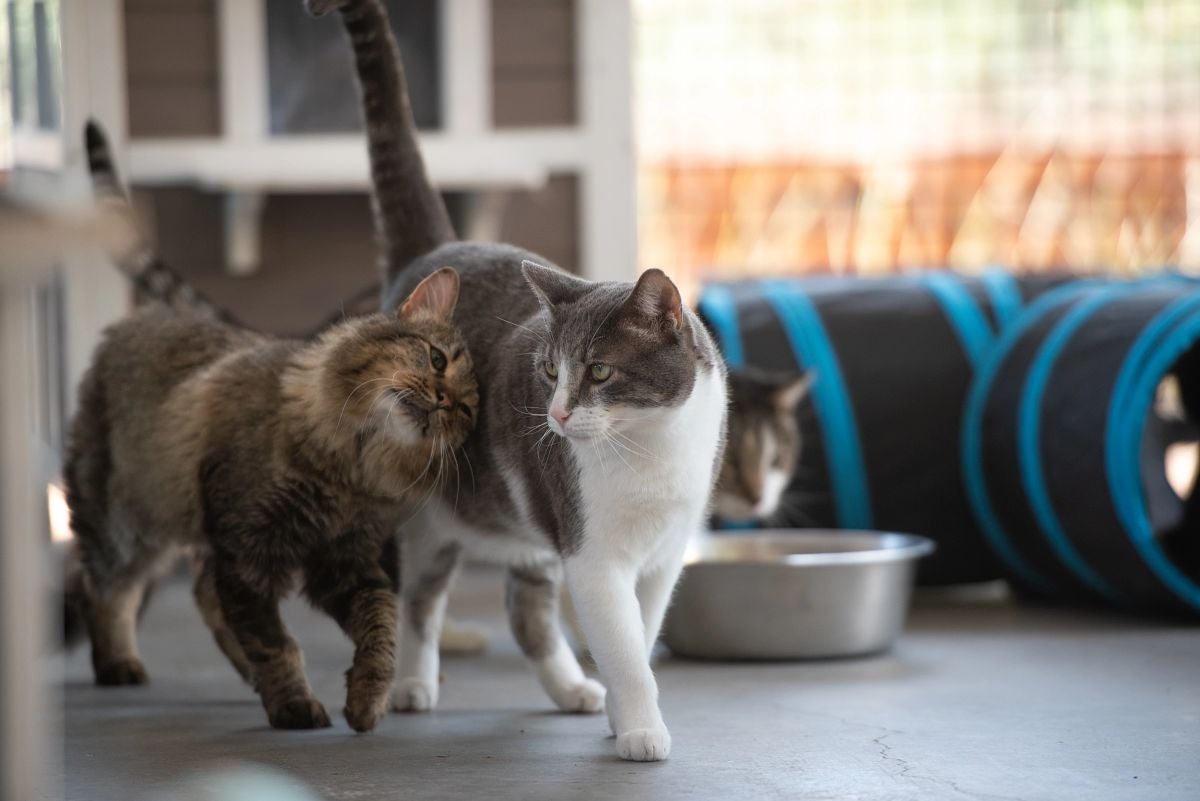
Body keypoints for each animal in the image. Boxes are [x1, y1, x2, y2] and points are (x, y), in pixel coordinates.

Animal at [64, 123, 477, 733]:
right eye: (436, 359)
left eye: (466, 411)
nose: (445, 400)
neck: (345, 467)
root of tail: (138, 319)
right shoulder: (248, 553)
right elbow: (276, 642)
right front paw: (294, 704)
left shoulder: (349, 561)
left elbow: (382, 630)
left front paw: (367, 700)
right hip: (124, 523)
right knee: (106, 589)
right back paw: (119, 664)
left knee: (198, 594)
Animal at [304, 0, 724, 762]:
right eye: (550, 370)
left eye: (599, 370)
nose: (555, 417)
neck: (651, 445)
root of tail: (431, 253)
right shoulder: (593, 554)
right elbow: (623, 648)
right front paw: (641, 731)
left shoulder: (663, 558)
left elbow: (640, 637)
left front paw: (617, 712)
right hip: (425, 515)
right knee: (419, 597)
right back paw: (413, 683)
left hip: (531, 530)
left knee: (524, 609)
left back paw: (570, 689)